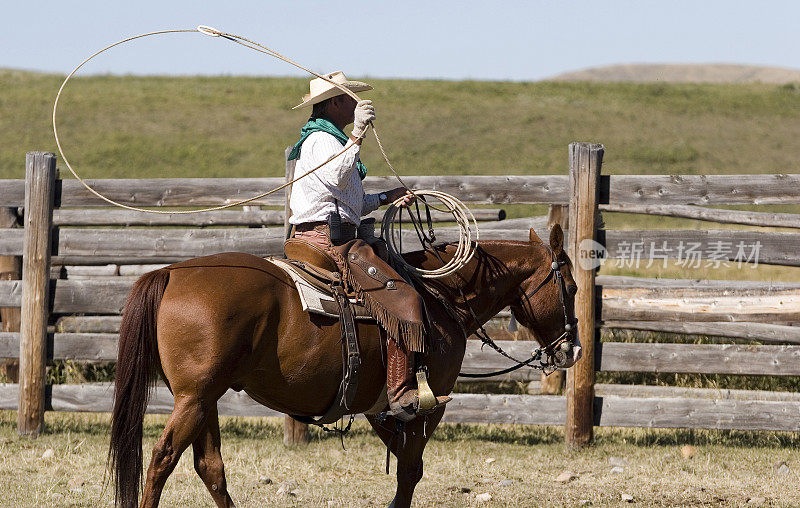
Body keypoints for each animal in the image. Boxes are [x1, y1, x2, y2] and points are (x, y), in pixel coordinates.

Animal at [109, 227, 580, 508]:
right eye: (572, 287)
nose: (572, 350)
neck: (441, 297)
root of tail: (171, 272)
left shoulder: (378, 408)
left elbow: (405, 465)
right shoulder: (427, 406)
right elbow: (410, 470)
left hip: (202, 398)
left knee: (209, 466)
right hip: (195, 398)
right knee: (162, 458)